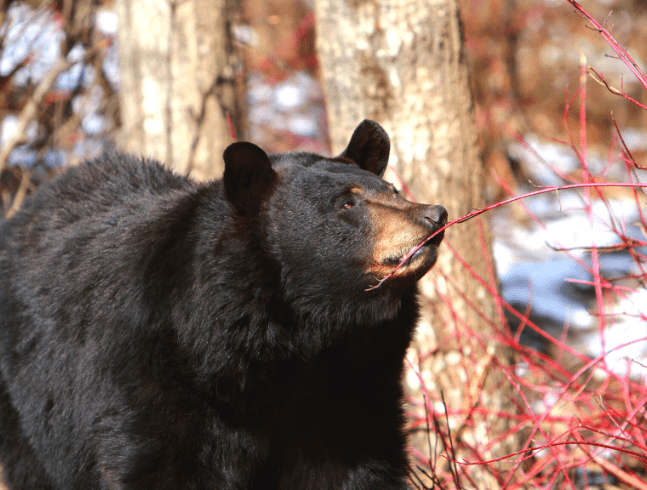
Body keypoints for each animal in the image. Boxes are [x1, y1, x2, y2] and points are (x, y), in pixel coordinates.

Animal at [0, 119, 446, 490]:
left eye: (390, 190)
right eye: (346, 203)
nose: (434, 214)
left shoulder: (353, 391)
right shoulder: (147, 380)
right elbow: (159, 466)